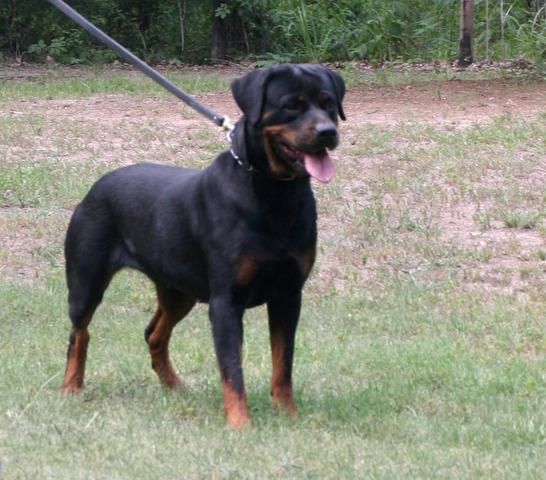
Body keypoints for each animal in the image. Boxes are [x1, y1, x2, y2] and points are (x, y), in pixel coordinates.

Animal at [61, 63, 344, 428]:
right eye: (291, 106)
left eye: (329, 103)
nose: (327, 132)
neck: (274, 194)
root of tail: (95, 188)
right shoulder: (226, 302)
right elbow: (232, 369)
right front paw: (240, 424)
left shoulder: (288, 294)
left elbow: (283, 364)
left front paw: (288, 415)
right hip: (87, 281)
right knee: (79, 332)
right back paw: (71, 386)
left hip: (179, 290)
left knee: (153, 333)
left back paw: (174, 387)